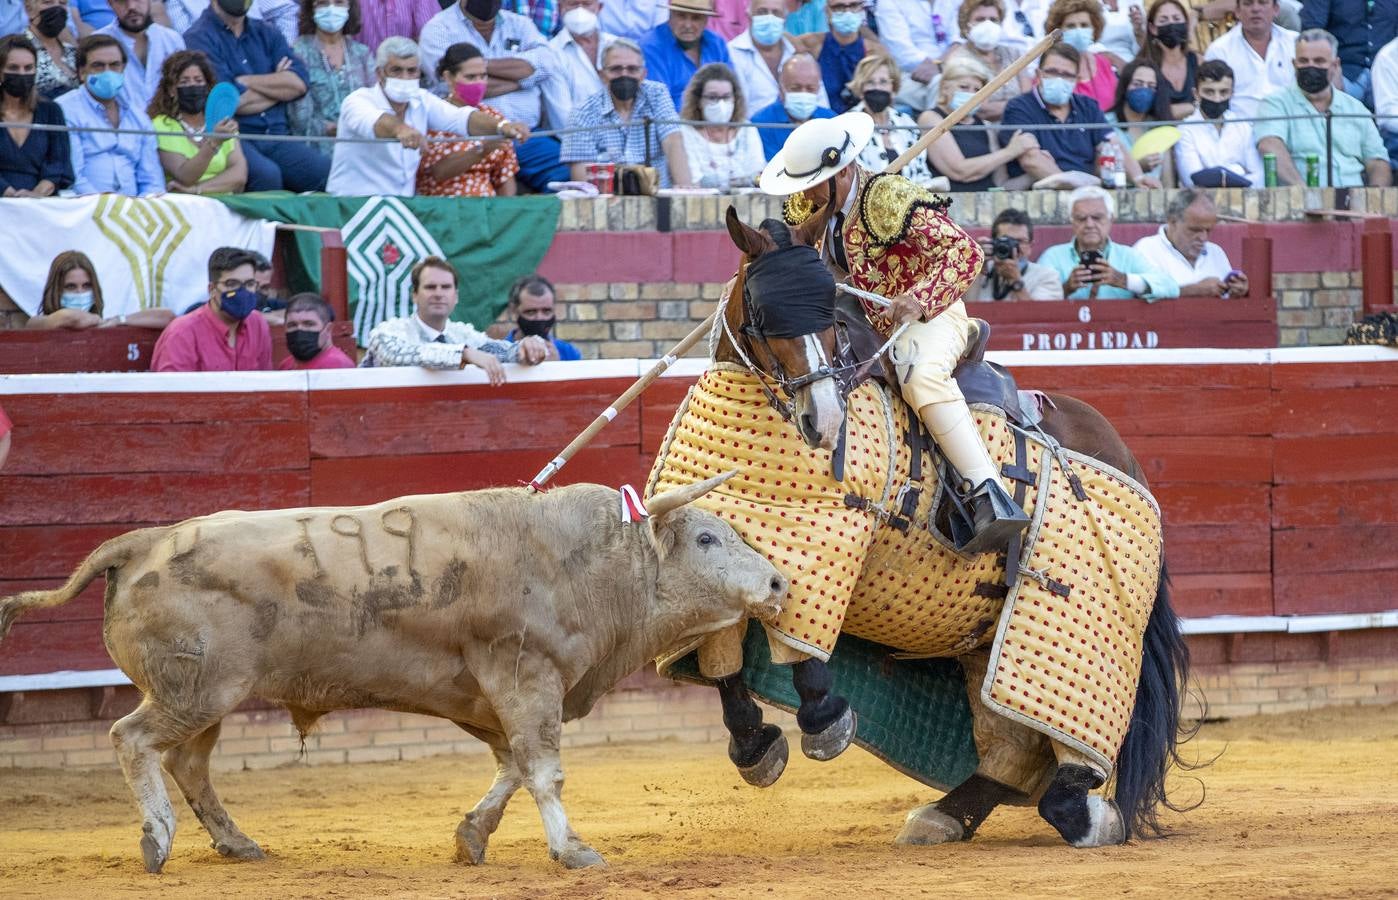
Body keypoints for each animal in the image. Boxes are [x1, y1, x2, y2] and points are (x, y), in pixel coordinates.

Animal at [0, 475, 788, 877]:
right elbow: (543, 768)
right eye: (709, 538)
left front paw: (472, 837)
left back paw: (236, 843)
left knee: (190, 764)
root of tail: (144, 542)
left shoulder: (495, 696)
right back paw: (156, 839)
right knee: (131, 739)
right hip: (195, 690)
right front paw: (572, 851)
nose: (780, 582)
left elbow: (511, 764)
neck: (586, 558)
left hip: (207, 698)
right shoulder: (526, 676)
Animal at [648, 197, 1196, 849]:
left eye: (824, 309)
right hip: (979, 642)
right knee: (1012, 749)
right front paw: (755, 745)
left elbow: (797, 639)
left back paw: (1087, 814)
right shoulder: (718, 553)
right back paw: (945, 815)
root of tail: (1125, 452)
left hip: (1080, 625)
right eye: (762, 308)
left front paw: (823, 720)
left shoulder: (824, 550)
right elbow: (721, 652)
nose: (823, 420)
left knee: (1068, 743)